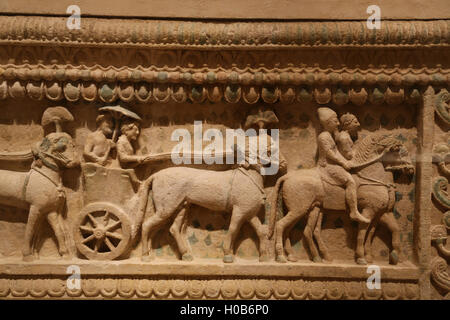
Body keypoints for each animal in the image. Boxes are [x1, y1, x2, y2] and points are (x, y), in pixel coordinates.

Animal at [0, 131, 78, 262]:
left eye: (73, 145)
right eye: (63, 146)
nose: (76, 162)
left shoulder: (49, 211)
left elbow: (58, 231)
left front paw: (65, 254)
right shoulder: (35, 207)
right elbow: (29, 230)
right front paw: (27, 255)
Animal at [139, 164, 276, 264]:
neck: (250, 177)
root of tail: (155, 175)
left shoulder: (248, 213)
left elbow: (260, 231)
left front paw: (263, 257)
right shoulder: (240, 211)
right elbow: (233, 229)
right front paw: (227, 255)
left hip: (181, 206)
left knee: (174, 229)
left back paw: (186, 255)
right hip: (166, 208)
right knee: (146, 225)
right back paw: (145, 256)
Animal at [268, 132, 414, 264]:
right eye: (401, 152)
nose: (411, 169)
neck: (373, 178)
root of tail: (287, 176)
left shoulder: (382, 213)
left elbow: (390, 230)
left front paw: (392, 256)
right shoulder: (369, 211)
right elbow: (362, 233)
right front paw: (361, 258)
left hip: (310, 209)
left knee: (300, 230)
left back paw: (303, 257)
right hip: (299, 209)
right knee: (281, 225)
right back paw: (281, 257)